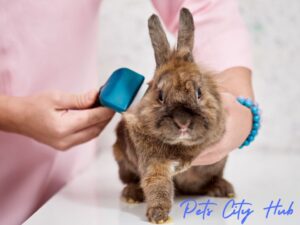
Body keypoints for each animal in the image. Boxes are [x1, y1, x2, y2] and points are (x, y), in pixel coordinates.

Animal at [112, 7, 234, 224]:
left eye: (199, 92)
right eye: (160, 96)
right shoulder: (154, 164)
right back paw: (131, 194)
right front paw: (159, 215)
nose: (183, 122)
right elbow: (157, 185)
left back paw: (223, 189)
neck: (180, 145)